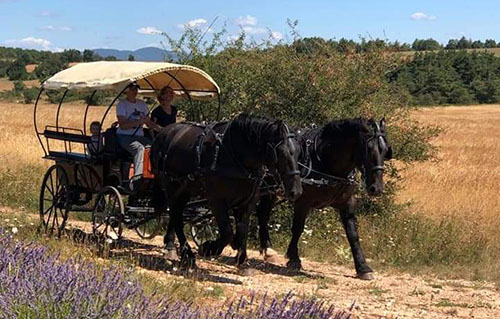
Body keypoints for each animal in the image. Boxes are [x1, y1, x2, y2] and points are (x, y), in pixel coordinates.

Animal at [152, 114, 300, 268]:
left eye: (298, 152)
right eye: (281, 153)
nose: (296, 191)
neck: (235, 156)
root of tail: (164, 132)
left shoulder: (247, 201)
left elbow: (242, 229)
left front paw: (241, 258)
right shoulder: (217, 200)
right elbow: (228, 232)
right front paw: (208, 248)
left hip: (185, 189)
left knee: (176, 215)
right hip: (172, 186)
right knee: (176, 217)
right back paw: (187, 255)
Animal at [256, 118, 392, 280]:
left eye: (385, 150)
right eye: (369, 148)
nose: (376, 188)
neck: (326, 162)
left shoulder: (347, 203)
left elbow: (353, 234)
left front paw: (363, 267)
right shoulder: (303, 202)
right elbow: (297, 229)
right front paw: (294, 259)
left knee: (262, 212)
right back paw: (268, 249)